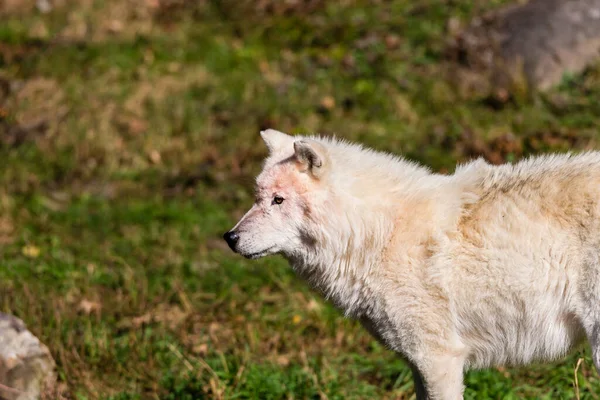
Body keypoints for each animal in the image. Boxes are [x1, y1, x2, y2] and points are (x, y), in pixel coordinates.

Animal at [223, 130, 600, 398]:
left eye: (278, 200)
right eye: (257, 197)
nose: (230, 237)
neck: (378, 233)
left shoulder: (438, 359)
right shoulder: (419, 364)